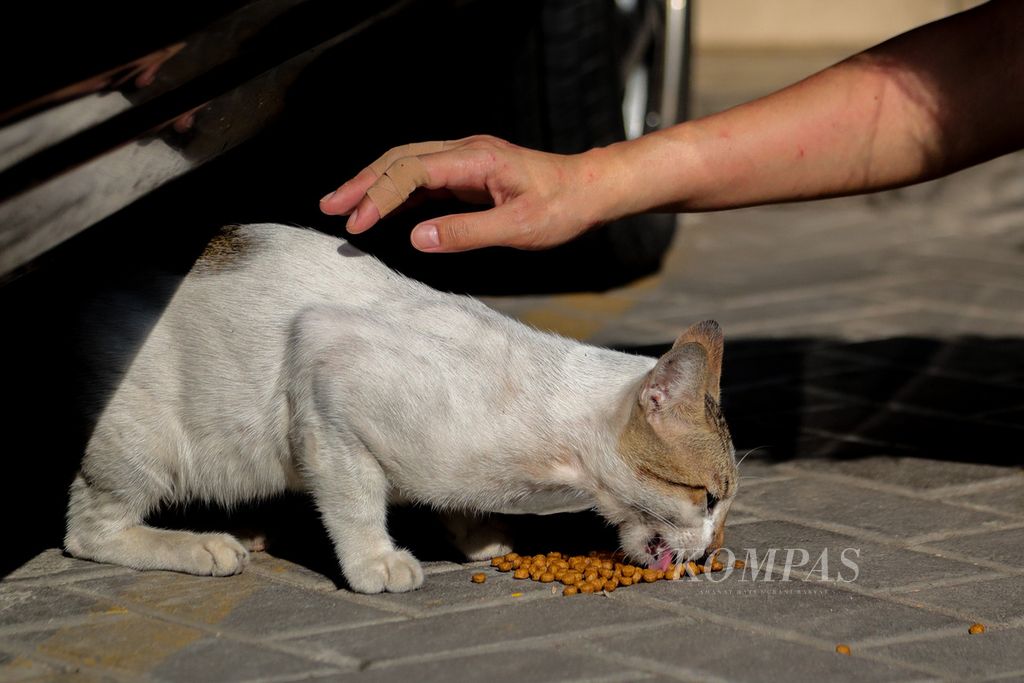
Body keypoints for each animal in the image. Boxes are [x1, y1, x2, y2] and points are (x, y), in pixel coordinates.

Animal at [66, 224, 737, 593]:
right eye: (706, 498)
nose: (709, 549)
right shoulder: (326, 371)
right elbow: (354, 500)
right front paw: (374, 561)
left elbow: (454, 500)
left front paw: (475, 532)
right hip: (144, 442)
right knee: (87, 529)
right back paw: (200, 546)